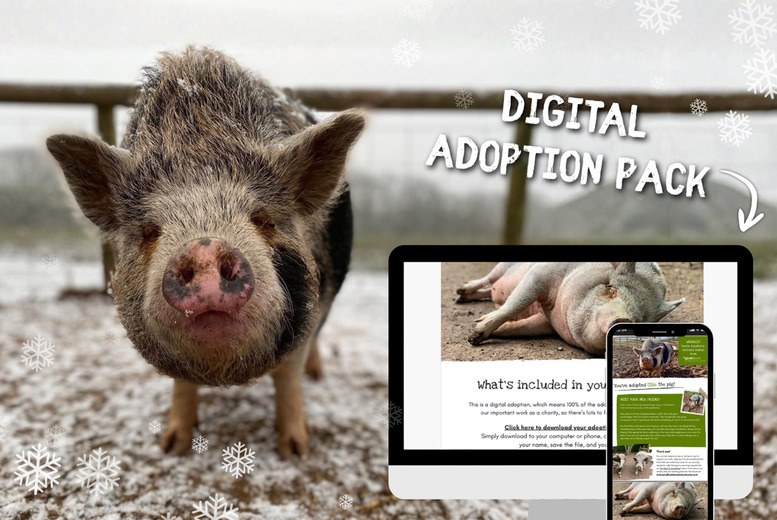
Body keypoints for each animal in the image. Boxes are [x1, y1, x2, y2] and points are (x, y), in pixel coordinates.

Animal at [46, 47, 365, 458]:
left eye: (263, 220)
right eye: (150, 231)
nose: (205, 248)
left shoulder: (311, 304)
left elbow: (288, 379)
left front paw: (295, 452)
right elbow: (182, 385)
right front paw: (171, 446)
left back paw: (318, 376)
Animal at [456, 262, 684, 355]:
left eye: (641, 318)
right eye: (611, 289)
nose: (623, 320)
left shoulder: (547, 323)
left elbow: (522, 327)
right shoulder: (540, 274)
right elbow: (516, 303)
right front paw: (473, 336)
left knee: (490, 289)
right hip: (504, 266)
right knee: (488, 279)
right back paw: (460, 292)